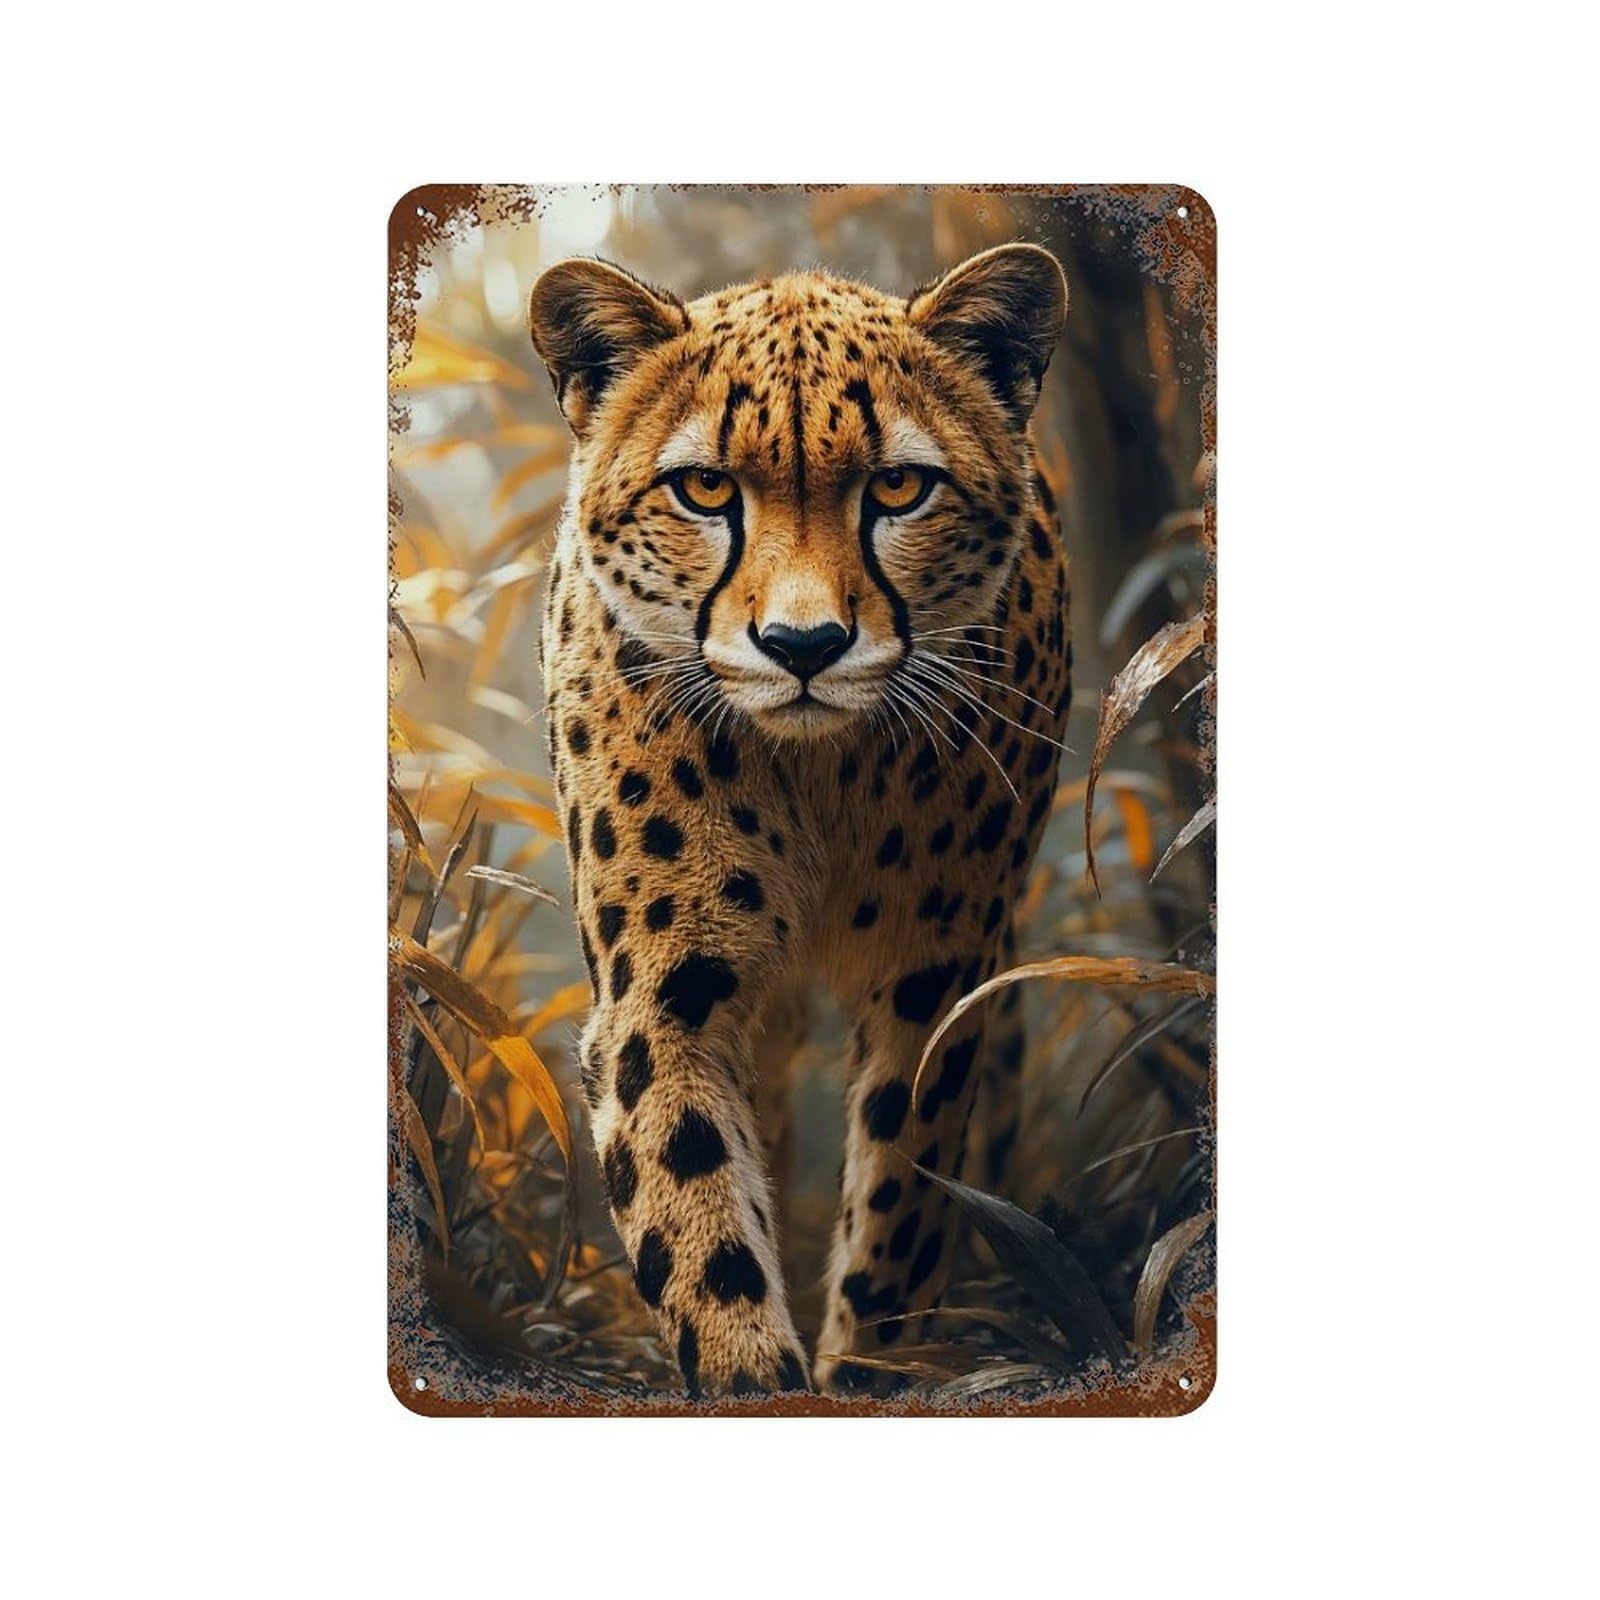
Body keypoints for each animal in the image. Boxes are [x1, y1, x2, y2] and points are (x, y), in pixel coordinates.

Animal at [527, 243, 1071, 1397]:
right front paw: (752, 1373)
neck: (823, 776)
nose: (805, 645)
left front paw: (872, 1372)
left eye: (900, 486)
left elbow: (905, 1201)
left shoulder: (935, 983)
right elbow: (695, 1206)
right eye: (704, 488)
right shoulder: (667, 994)